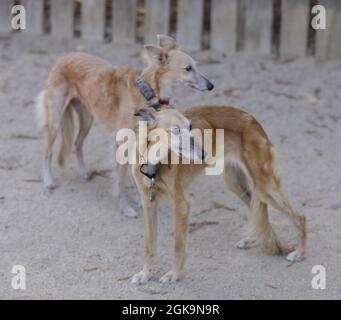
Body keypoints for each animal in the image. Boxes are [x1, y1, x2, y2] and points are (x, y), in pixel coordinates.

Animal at [36, 35, 212, 218]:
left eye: (196, 66)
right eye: (188, 68)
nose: (211, 86)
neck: (147, 91)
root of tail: (64, 57)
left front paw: (140, 198)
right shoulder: (122, 144)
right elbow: (120, 180)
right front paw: (125, 208)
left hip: (87, 120)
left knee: (77, 143)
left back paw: (83, 172)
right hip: (55, 121)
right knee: (47, 151)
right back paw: (48, 180)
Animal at [130, 105, 306, 282]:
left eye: (190, 127)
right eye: (176, 130)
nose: (203, 155)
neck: (154, 162)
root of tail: (251, 119)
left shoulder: (181, 206)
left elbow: (178, 246)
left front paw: (173, 274)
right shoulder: (148, 203)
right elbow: (149, 245)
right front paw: (145, 274)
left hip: (264, 187)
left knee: (299, 216)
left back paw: (299, 254)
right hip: (235, 183)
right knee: (257, 209)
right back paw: (254, 240)